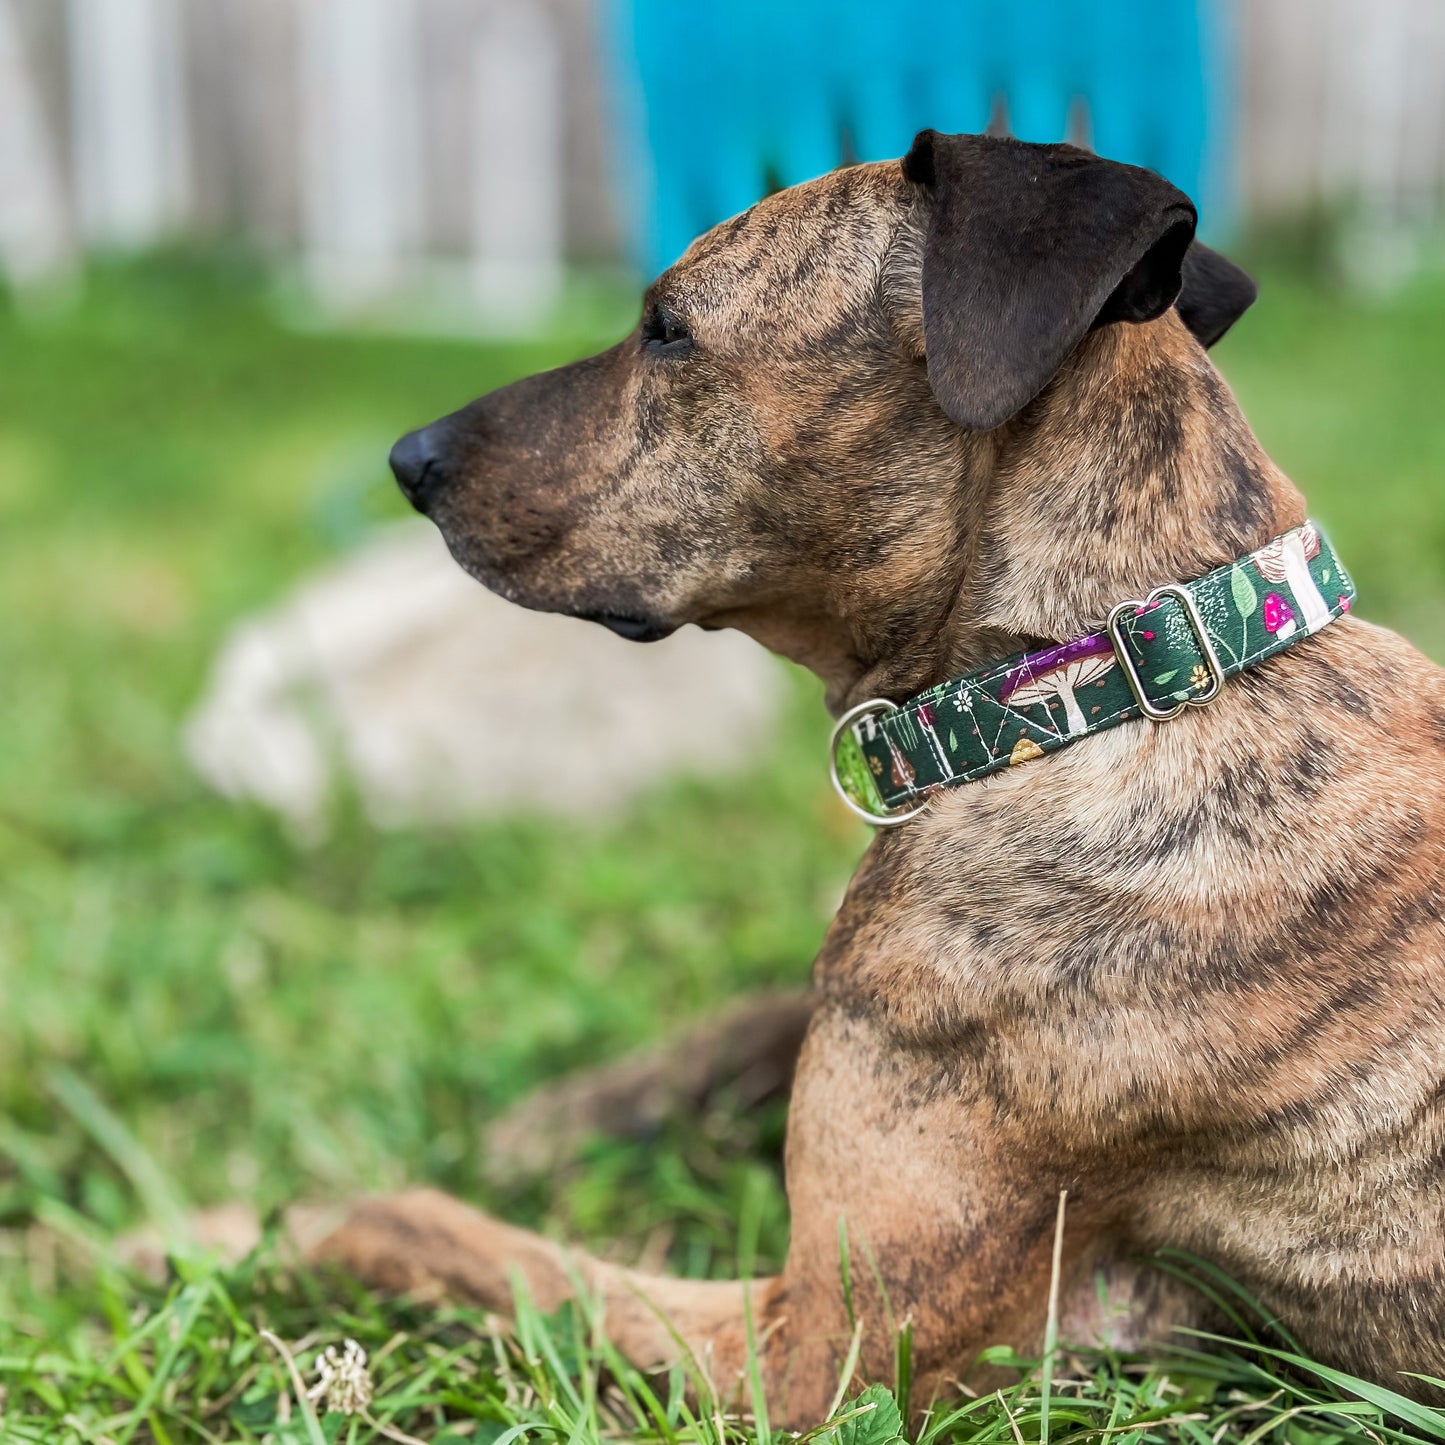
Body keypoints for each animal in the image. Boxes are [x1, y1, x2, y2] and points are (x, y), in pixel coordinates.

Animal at [325, 130, 1445, 1416]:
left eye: (666, 328)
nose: (407, 458)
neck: (1092, 685)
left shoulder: (811, 1345)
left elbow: (488, 1249)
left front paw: (266, 1223)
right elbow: (742, 1022)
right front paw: (553, 1118)